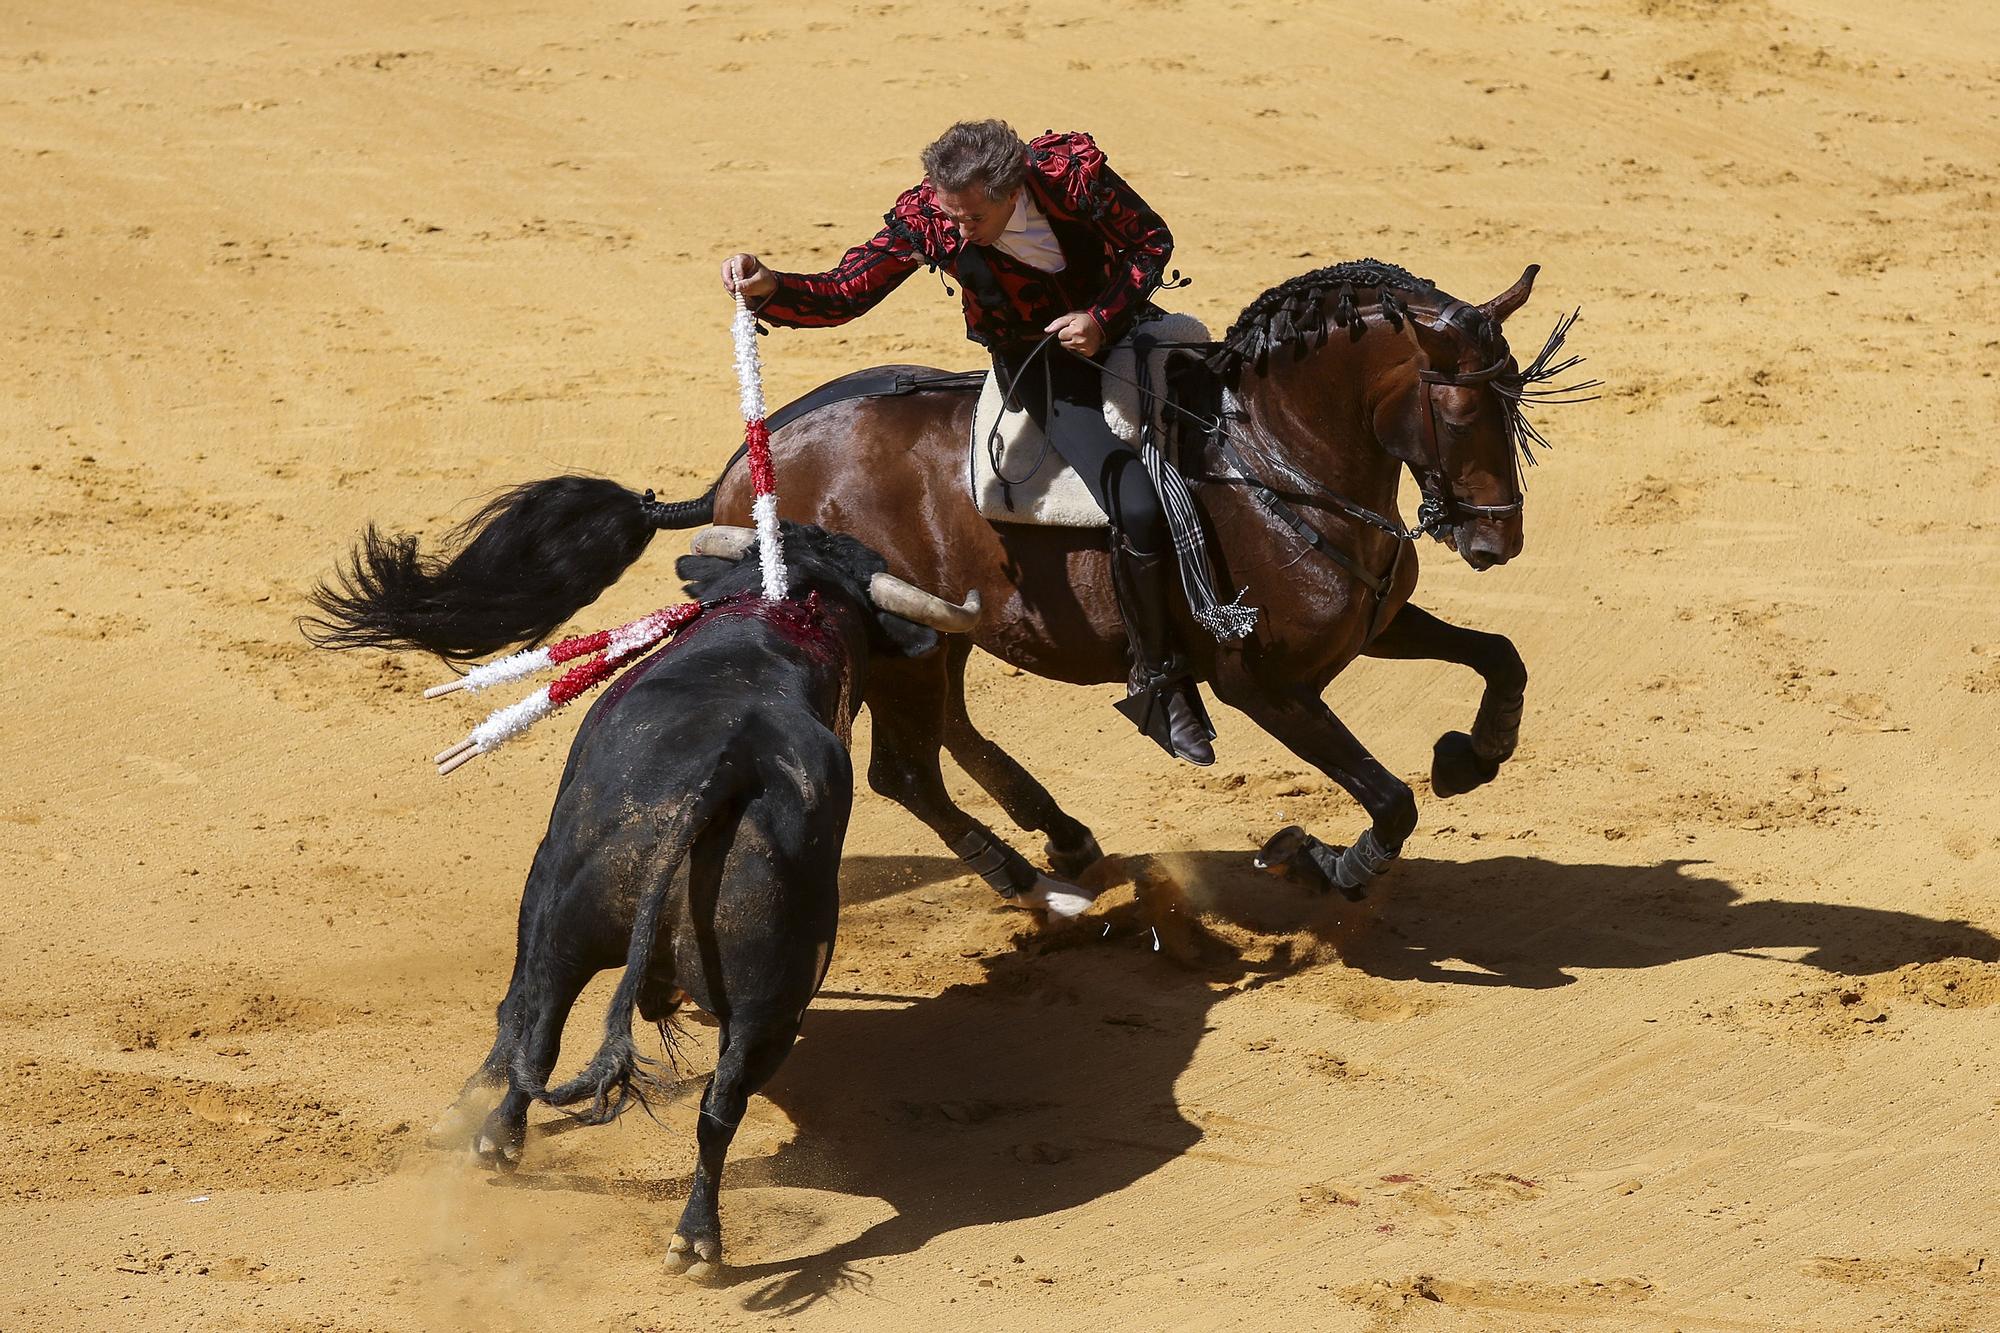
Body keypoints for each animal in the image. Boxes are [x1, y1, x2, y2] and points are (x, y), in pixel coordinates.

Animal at [308, 256, 1592, 904]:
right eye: (1460, 400)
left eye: (1518, 394)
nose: (1494, 539)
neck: (1272, 455)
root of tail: (729, 477)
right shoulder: (1261, 683)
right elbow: (1385, 799)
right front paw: (1320, 856)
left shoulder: (1368, 626)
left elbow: (1502, 659)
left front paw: (1468, 753)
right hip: (887, 644)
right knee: (906, 767)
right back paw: (1032, 871)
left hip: (941, 633)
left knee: (944, 743)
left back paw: (1061, 841)